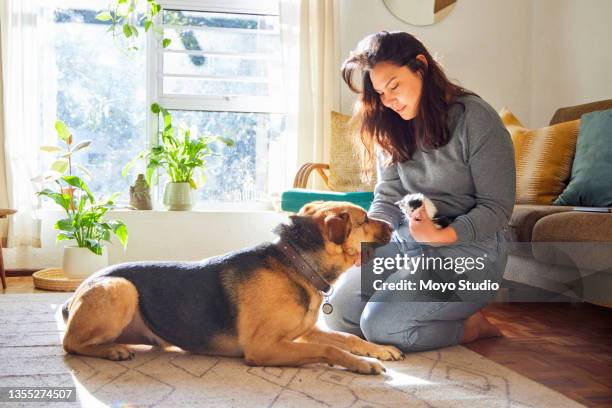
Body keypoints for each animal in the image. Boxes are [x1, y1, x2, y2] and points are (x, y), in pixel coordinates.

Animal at [62, 202, 404, 374]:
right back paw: (111, 350)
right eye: (365, 220)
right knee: (70, 344)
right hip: (121, 287)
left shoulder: (305, 333)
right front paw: (363, 364)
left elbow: (347, 338)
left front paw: (378, 350)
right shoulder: (263, 348)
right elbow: (330, 349)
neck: (297, 264)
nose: (394, 224)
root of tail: (75, 294)